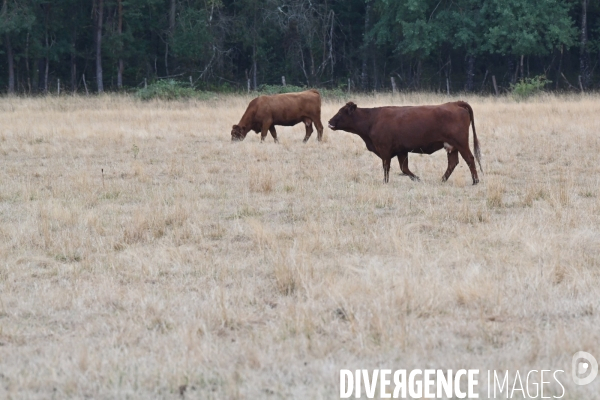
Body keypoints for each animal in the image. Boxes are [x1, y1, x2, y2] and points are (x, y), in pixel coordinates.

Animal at [328, 101, 482, 186]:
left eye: (341, 112)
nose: (329, 122)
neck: (372, 120)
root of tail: (455, 103)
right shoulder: (402, 151)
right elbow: (404, 168)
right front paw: (418, 179)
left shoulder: (385, 150)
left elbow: (387, 167)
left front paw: (385, 182)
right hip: (452, 146)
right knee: (453, 163)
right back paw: (442, 180)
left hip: (461, 143)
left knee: (469, 159)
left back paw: (475, 181)